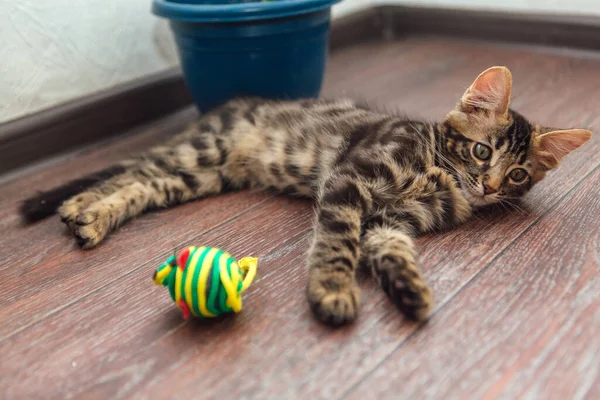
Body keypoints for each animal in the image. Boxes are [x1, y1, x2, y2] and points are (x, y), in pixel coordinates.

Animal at [22, 67, 592, 326]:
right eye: (480, 150)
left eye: (517, 174)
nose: (490, 187)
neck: (440, 173)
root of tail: (222, 110)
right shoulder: (350, 179)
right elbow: (336, 242)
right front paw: (333, 289)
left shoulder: (392, 220)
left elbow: (390, 251)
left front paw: (409, 288)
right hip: (203, 151)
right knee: (136, 170)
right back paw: (83, 207)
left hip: (203, 176)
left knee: (145, 183)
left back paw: (92, 215)